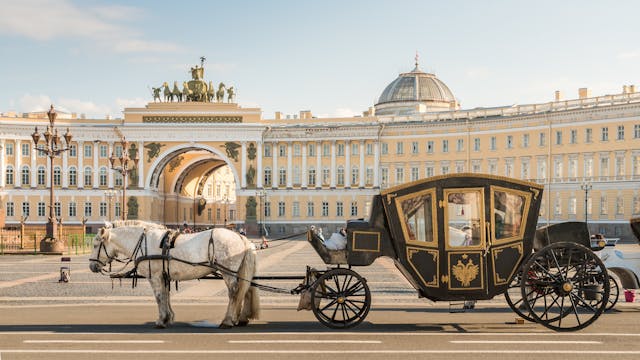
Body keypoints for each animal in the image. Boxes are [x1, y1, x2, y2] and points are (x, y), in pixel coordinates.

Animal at [89, 219, 258, 330]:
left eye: (95, 244)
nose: (91, 266)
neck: (144, 242)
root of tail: (240, 237)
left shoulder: (155, 277)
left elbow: (159, 297)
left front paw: (161, 320)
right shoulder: (164, 276)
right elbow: (166, 296)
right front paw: (168, 317)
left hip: (228, 273)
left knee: (234, 294)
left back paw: (228, 321)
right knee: (244, 291)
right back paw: (239, 318)